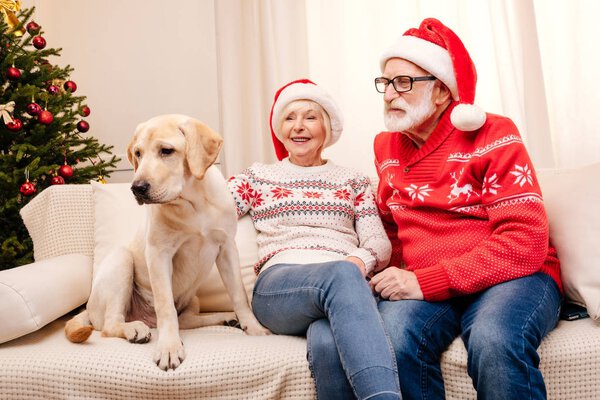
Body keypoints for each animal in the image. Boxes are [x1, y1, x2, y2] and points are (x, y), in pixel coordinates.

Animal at [65, 114, 270, 370]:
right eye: (138, 153)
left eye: (166, 151)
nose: (137, 188)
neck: (193, 202)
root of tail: (88, 309)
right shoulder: (159, 254)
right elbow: (165, 307)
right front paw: (169, 348)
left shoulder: (227, 248)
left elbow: (239, 295)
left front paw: (253, 327)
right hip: (122, 262)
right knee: (110, 326)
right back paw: (134, 328)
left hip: (192, 297)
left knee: (186, 319)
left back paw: (226, 318)